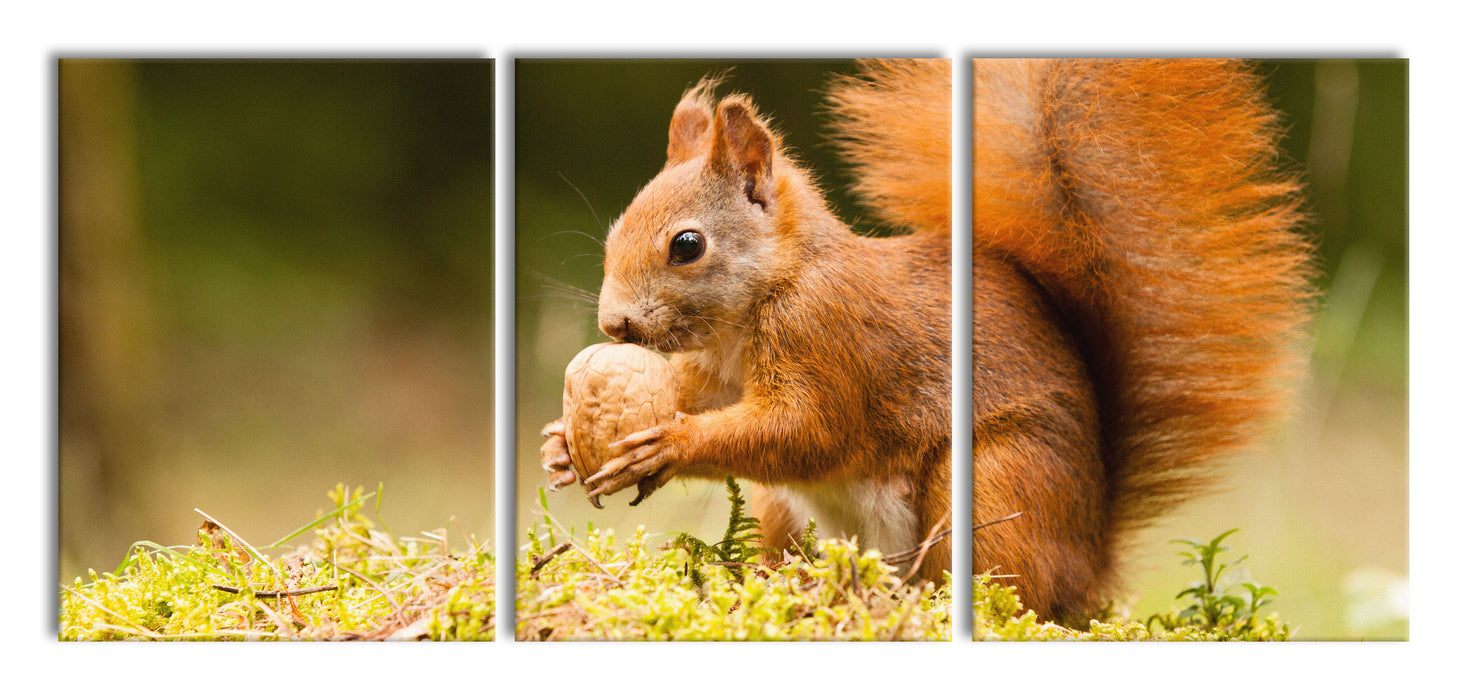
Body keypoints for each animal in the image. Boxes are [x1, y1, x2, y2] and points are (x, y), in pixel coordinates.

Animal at [537, 58, 1309, 622]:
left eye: (687, 245)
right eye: (616, 229)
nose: (614, 326)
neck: (762, 301)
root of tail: (1091, 565)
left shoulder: (829, 337)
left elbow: (806, 431)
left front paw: (668, 444)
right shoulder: (711, 370)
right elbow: (699, 397)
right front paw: (561, 445)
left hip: (994, 483)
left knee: (1006, 589)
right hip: (786, 512)